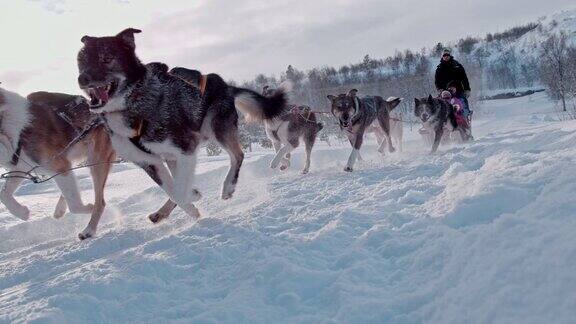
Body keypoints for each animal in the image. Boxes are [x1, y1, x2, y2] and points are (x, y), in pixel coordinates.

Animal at [0, 87, 116, 239]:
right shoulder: (20, 168)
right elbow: (4, 195)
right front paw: (23, 213)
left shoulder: (60, 167)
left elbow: (75, 206)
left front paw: (88, 208)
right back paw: (60, 210)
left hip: (97, 161)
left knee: (99, 202)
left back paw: (88, 230)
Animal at [77, 27, 288, 233]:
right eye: (81, 60)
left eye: (106, 58)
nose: (82, 78)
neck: (132, 105)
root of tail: (224, 84)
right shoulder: (149, 161)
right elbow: (173, 190)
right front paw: (192, 205)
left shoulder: (186, 148)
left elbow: (179, 191)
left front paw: (193, 197)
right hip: (174, 157)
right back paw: (162, 212)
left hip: (215, 128)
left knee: (238, 155)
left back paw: (228, 187)